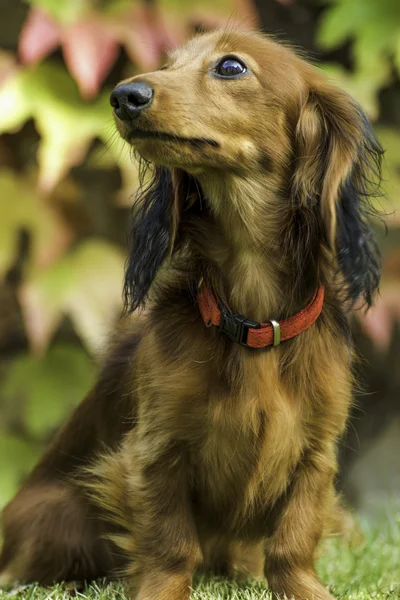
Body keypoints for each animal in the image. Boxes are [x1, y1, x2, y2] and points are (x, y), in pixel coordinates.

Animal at [0, 28, 382, 600]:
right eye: (166, 64)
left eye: (231, 67)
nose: (123, 95)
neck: (251, 321)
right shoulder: (156, 449)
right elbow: (171, 541)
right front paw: (160, 589)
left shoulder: (317, 452)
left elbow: (293, 539)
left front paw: (304, 588)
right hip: (59, 512)